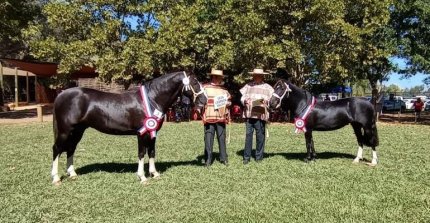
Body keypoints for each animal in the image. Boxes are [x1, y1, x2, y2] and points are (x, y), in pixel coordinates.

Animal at [51, 71, 207, 185]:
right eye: (194, 83)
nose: (204, 100)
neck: (152, 99)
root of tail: (61, 95)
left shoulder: (153, 133)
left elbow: (152, 152)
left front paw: (154, 174)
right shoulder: (142, 133)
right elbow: (142, 153)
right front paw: (142, 177)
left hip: (78, 131)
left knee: (71, 149)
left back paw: (72, 174)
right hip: (65, 131)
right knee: (57, 149)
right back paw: (56, 178)